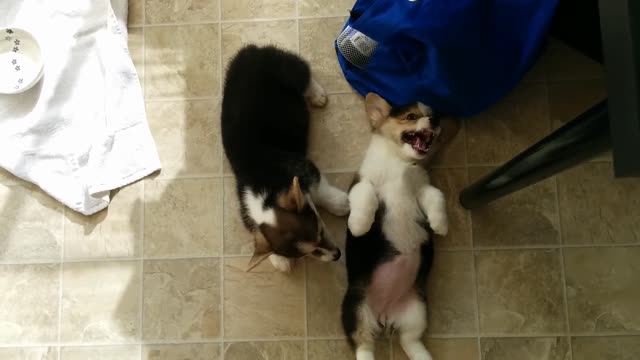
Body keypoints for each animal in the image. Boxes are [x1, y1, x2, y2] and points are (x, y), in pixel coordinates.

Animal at [220, 44, 350, 270]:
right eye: (312, 252)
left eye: (321, 231)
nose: (337, 255)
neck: (266, 197)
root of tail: (253, 50)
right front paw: (279, 260)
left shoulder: (306, 168)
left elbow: (321, 191)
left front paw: (341, 204)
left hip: (290, 70)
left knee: (305, 72)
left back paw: (317, 95)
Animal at [340, 93, 450, 360]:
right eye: (411, 116)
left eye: (432, 115)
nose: (435, 120)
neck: (401, 162)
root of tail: (384, 313)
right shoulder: (362, 183)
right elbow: (366, 195)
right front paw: (359, 225)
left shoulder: (422, 189)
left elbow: (437, 196)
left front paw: (440, 224)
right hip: (355, 309)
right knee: (363, 345)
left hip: (417, 310)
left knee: (409, 341)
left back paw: (425, 358)